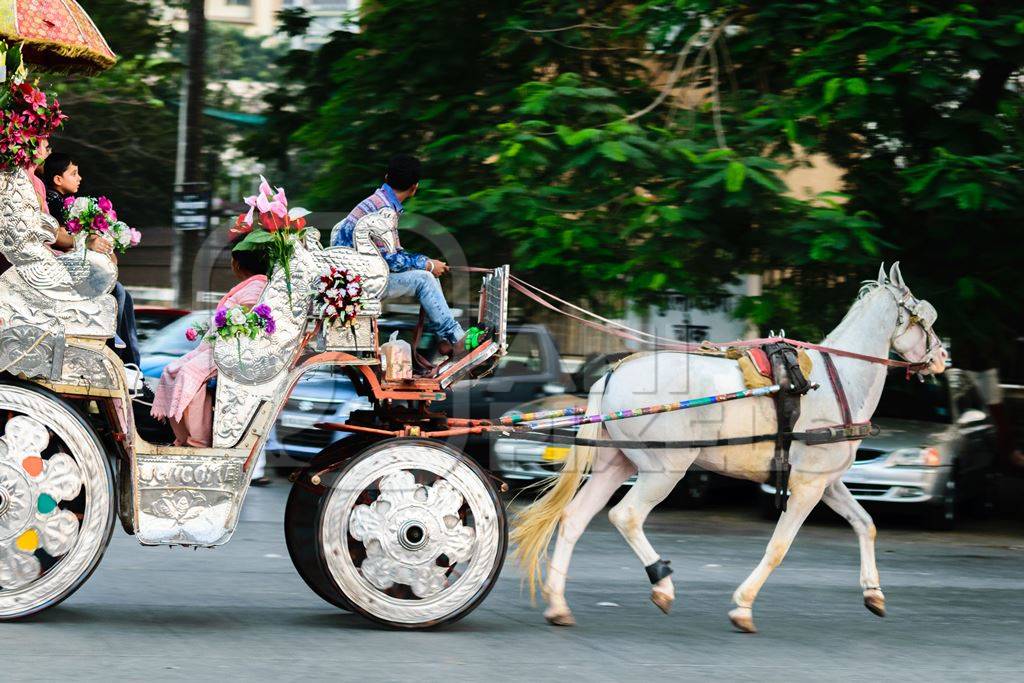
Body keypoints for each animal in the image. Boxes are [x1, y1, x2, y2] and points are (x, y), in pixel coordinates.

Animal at [516, 264, 946, 634]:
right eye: (926, 318)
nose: (942, 357)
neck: (838, 380)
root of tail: (611, 375)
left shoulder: (827, 482)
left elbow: (866, 524)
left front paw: (873, 593)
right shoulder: (807, 486)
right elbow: (779, 547)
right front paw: (743, 606)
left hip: (616, 464)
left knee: (574, 518)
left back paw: (558, 604)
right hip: (664, 469)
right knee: (626, 515)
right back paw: (661, 584)